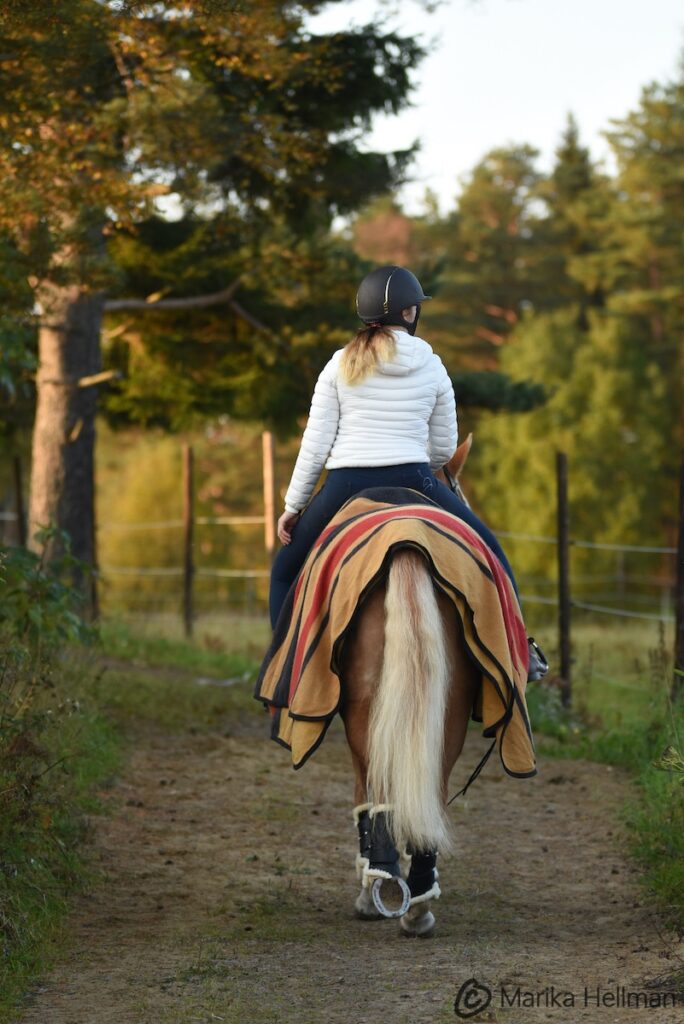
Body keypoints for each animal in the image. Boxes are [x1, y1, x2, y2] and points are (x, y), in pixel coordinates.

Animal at [335, 436, 481, 937]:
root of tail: (407, 543)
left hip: (364, 718)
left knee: (376, 794)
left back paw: (378, 890)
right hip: (449, 711)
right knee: (429, 794)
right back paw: (418, 904)